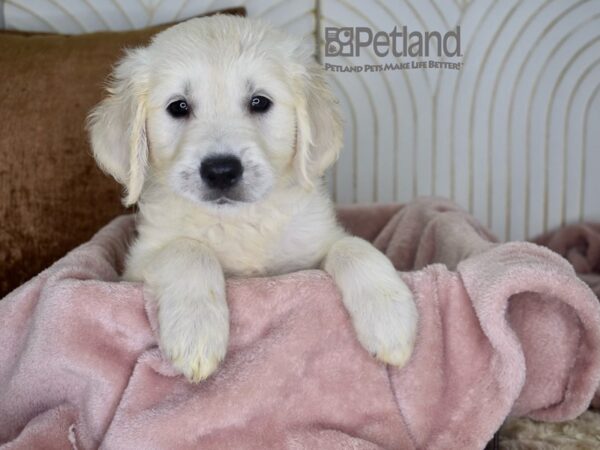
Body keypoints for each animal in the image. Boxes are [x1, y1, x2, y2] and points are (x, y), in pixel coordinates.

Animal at [88, 16, 418, 384]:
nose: (220, 171)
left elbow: (353, 246)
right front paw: (196, 331)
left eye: (259, 102)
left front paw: (390, 318)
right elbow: (188, 248)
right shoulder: (134, 268)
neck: (238, 221)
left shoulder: (310, 248)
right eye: (179, 107)